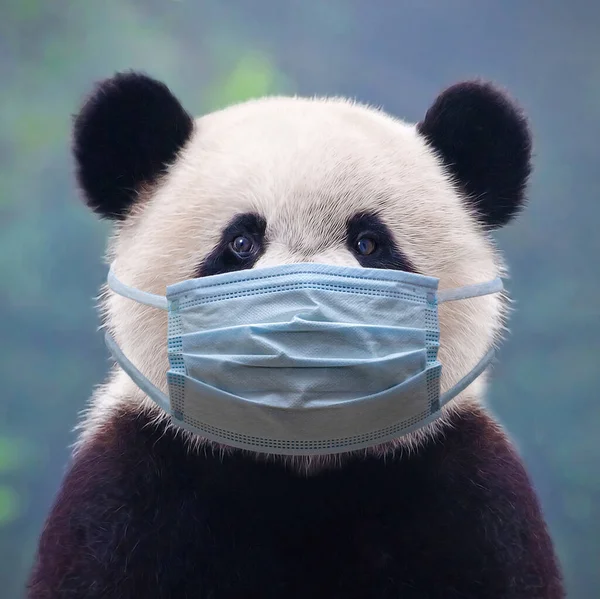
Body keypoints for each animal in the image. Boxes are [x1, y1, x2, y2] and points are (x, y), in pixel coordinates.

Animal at [27, 72, 564, 596]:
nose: (307, 322)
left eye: (369, 243)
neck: (301, 460)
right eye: (241, 242)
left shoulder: (462, 488)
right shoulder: (136, 482)